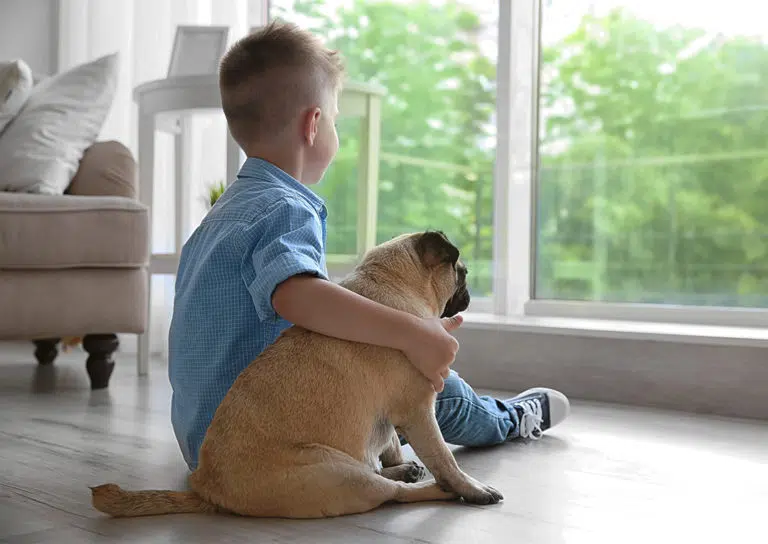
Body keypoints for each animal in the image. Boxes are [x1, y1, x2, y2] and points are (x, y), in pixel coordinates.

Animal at [91, 230, 504, 520]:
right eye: (462, 272)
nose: (468, 290)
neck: (391, 283)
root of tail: (207, 490)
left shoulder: (393, 416)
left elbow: (388, 443)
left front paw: (398, 461)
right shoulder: (419, 411)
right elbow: (445, 460)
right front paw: (469, 487)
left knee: (379, 473)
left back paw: (403, 472)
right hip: (337, 471)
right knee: (391, 493)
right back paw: (439, 490)